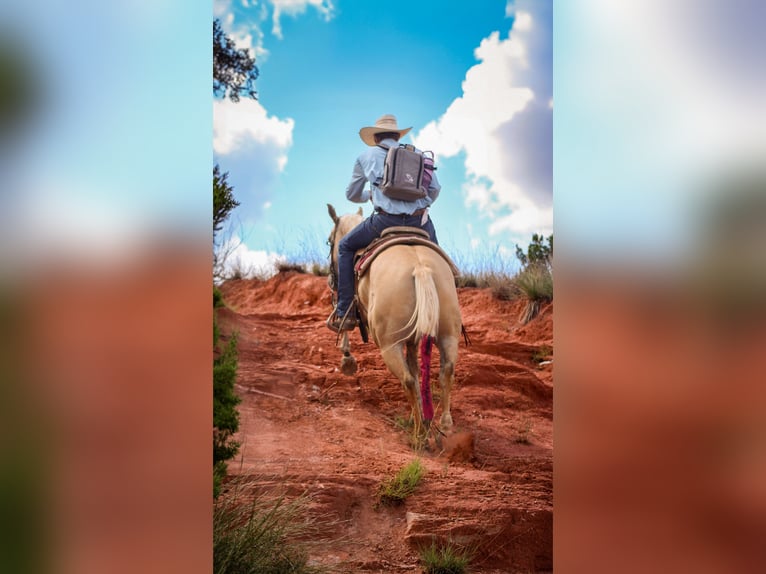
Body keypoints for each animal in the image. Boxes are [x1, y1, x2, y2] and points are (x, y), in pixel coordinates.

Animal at [326, 204, 463, 434]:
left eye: (329, 241)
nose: (330, 280)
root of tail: (420, 268)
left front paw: (347, 359)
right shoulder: (413, 341)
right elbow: (416, 371)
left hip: (390, 346)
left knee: (407, 380)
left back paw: (418, 430)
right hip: (448, 336)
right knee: (446, 371)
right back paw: (444, 425)